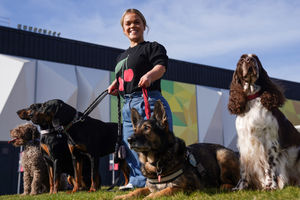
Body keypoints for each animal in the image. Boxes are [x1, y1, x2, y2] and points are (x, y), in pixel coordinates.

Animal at [229, 53, 300, 191]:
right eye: (242, 59)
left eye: (255, 58)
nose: (249, 60)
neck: (251, 100)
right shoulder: (244, 143)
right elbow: (244, 168)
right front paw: (240, 188)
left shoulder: (270, 142)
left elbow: (270, 166)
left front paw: (271, 186)